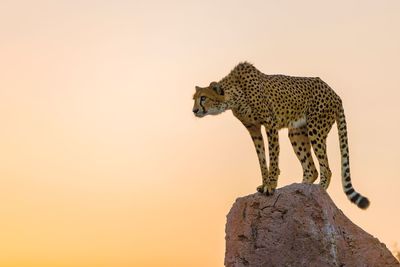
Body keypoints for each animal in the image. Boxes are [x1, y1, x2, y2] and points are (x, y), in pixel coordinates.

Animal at [192, 62, 370, 209]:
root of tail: (335, 93)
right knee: (311, 169)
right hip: (296, 133)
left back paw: (319, 191)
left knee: (326, 168)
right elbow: (261, 158)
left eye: (203, 98)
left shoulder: (270, 124)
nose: (194, 110)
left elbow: (273, 155)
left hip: (316, 129)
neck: (234, 94)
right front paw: (264, 184)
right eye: (194, 99)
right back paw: (298, 190)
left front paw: (271, 185)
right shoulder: (253, 129)